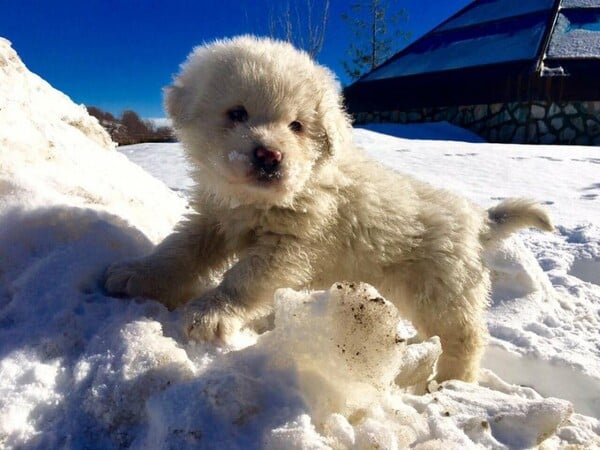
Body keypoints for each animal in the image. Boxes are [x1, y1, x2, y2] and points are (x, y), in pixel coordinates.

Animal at [104, 36, 552, 384]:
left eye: (297, 126)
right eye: (237, 113)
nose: (269, 156)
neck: (259, 202)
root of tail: (479, 220)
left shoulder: (288, 246)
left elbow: (242, 279)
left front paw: (210, 312)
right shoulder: (213, 220)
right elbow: (178, 251)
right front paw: (138, 274)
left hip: (444, 292)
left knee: (465, 338)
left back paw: (450, 383)